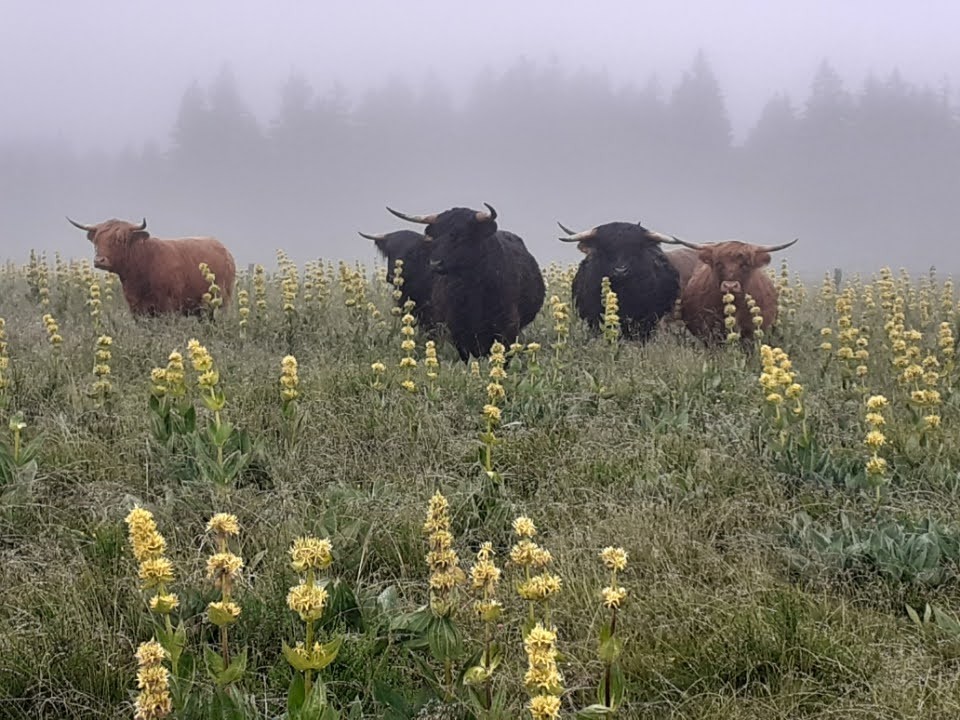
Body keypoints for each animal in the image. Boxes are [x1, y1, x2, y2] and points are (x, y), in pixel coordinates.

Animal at [67, 215, 236, 314]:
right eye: (97, 240)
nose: (100, 260)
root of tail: (224, 249)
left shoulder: (168, 307)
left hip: (222, 301)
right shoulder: (136, 307)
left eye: (120, 239)